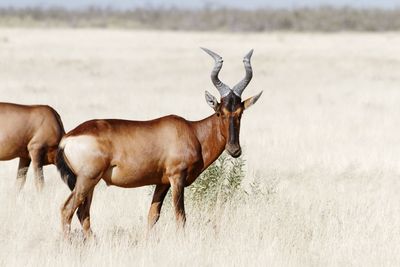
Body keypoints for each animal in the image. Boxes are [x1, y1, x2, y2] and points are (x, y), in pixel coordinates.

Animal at [56, 48, 262, 239]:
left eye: (240, 112)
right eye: (220, 112)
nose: (234, 150)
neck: (192, 131)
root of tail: (68, 138)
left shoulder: (162, 182)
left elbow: (153, 215)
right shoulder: (177, 178)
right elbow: (181, 216)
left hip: (89, 182)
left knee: (83, 213)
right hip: (87, 179)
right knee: (68, 209)